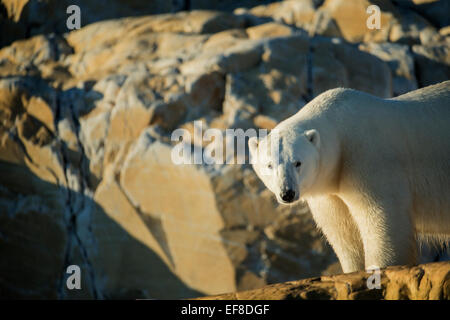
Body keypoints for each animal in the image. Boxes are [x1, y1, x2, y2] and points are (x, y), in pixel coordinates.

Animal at [248, 80, 450, 272]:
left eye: (298, 162)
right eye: (269, 165)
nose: (287, 193)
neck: (341, 133)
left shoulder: (369, 161)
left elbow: (382, 220)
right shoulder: (329, 191)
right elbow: (343, 234)